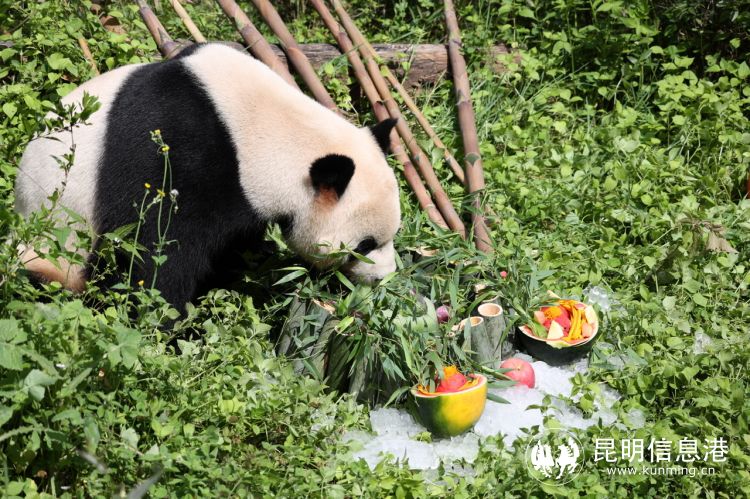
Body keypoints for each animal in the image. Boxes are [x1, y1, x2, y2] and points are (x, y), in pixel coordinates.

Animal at [15, 43, 401, 310]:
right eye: (365, 245)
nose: (383, 277)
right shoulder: (177, 156)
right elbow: (157, 250)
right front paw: (167, 324)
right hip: (57, 249)